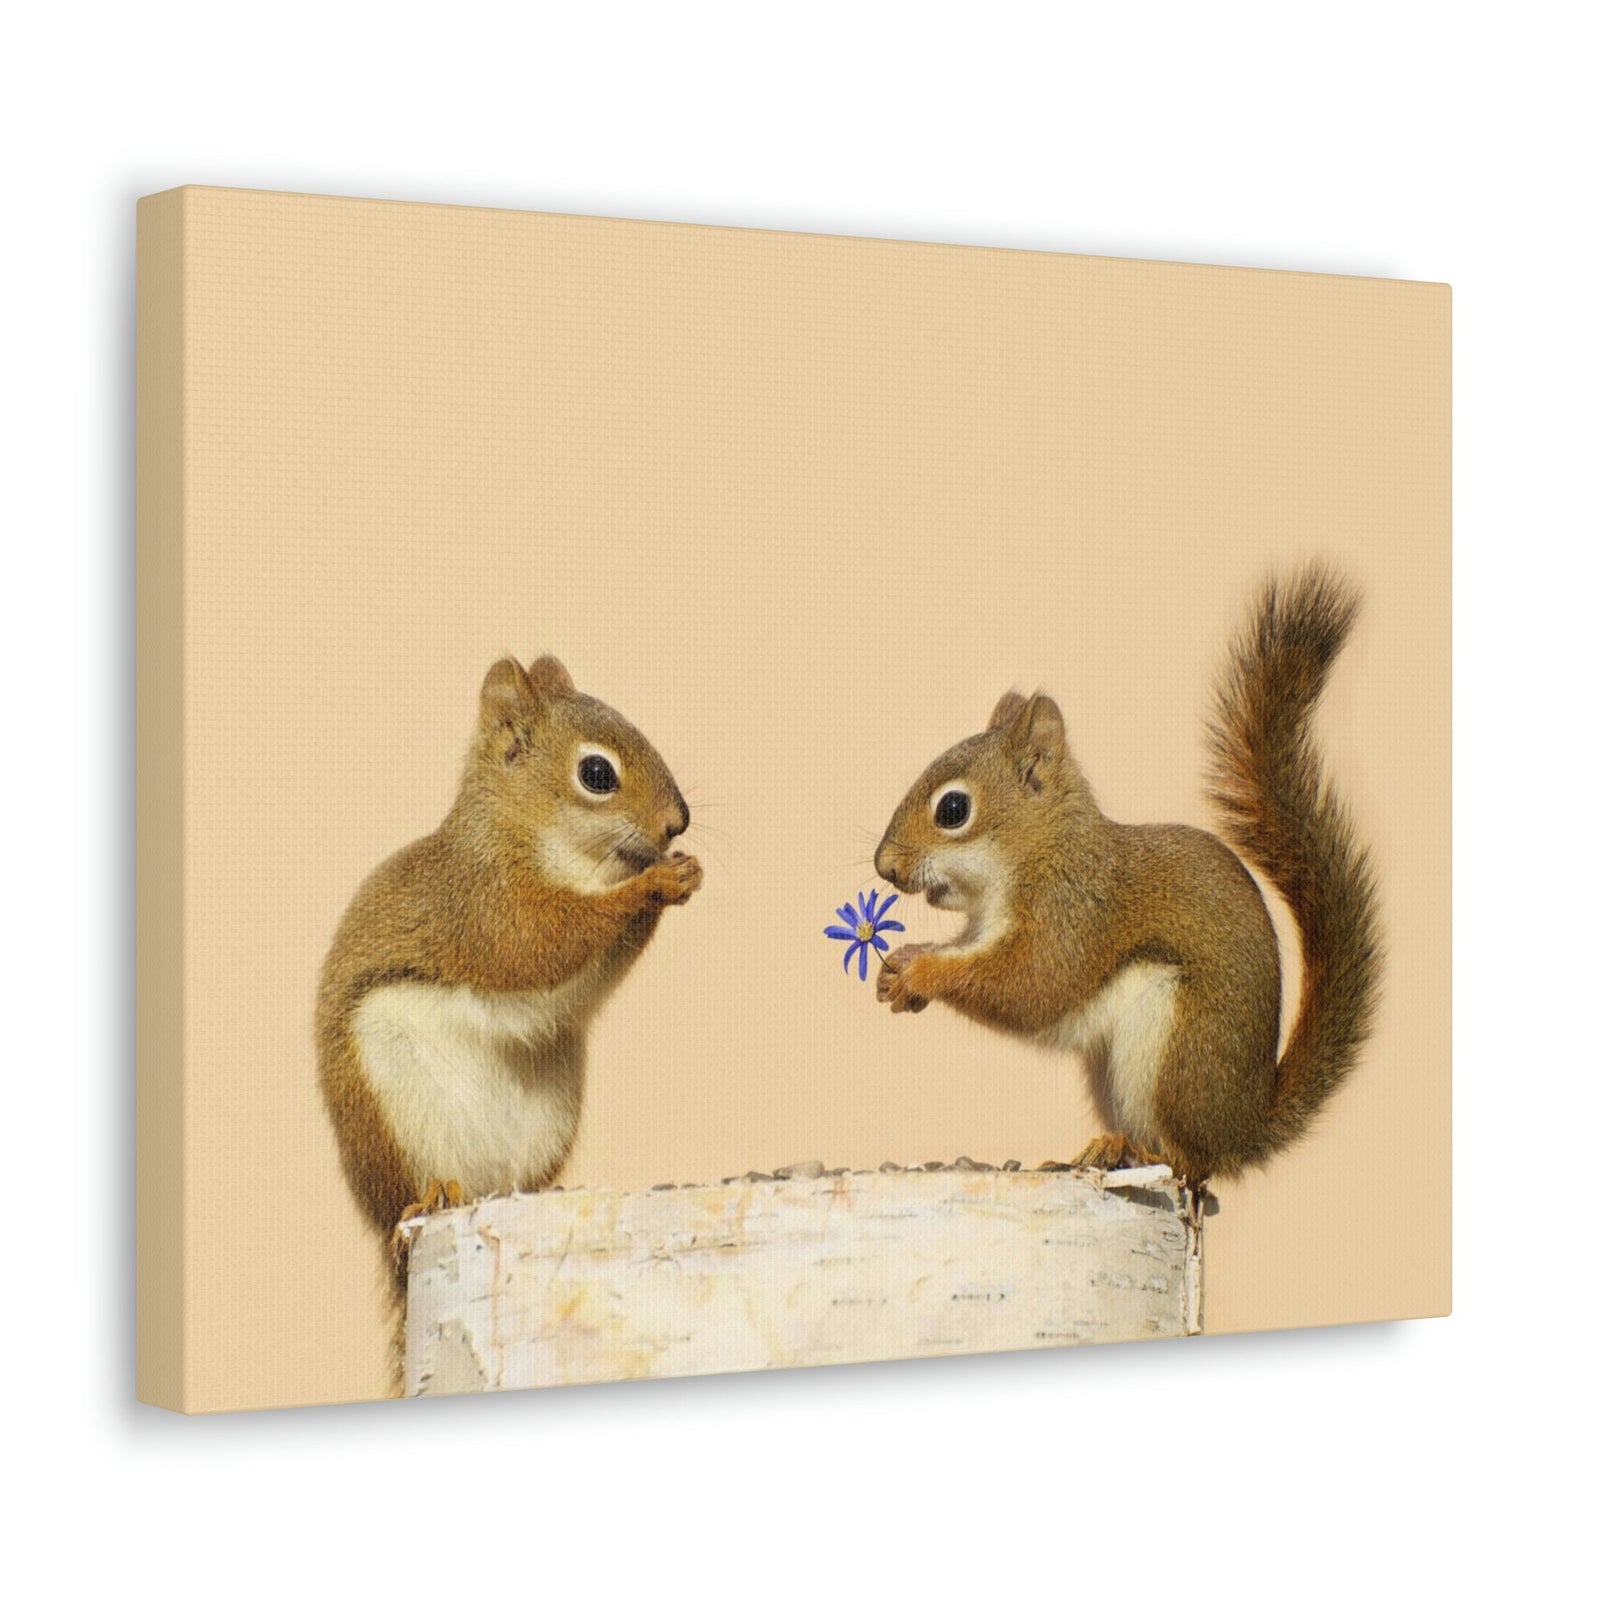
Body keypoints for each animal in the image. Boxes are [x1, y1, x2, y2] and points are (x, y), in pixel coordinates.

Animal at [316, 654, 701, 1264]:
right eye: (597, 774)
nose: (676, 823)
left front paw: (683, 871)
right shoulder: (484, 904)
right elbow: (540, 944)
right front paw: (654, 883)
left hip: (549, 1119)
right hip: (394, 1105)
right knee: (415, 1188)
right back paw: (433, 1193)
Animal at [872, 566, 1382, 1182]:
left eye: (952, 810)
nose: (883, 866)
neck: (1039, 853)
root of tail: (1244, 1129)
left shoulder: (1074, 913)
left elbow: (1031, 983)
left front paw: (921, 974)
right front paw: (897, 969)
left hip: (1172, 1051)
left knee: (1192, 1162)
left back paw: (1141, 1152)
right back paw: (1103, 1149)